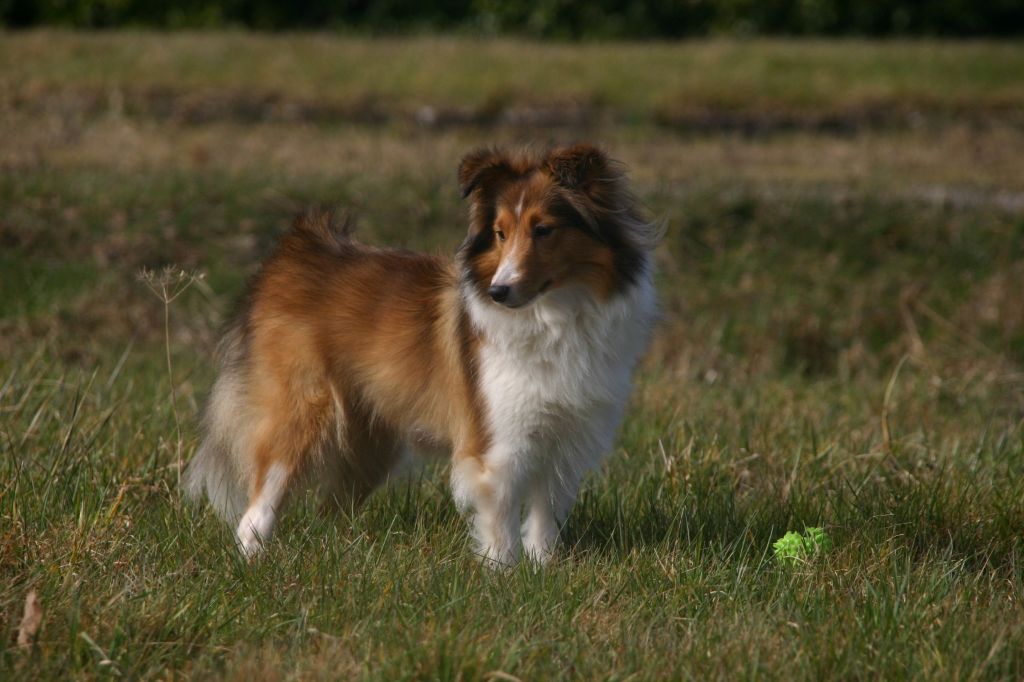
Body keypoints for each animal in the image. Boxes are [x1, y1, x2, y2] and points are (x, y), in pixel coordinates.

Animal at [185, 143, 659, 561]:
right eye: (501, 233)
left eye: (543, 230)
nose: (498, 292)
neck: (554, 314)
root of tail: (296, 250)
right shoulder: (498, 444)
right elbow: (501, 521)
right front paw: (505, 577)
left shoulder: (565, 441)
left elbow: (545, 518)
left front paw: (543, 571)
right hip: (300, 413)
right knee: (256, 510)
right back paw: (253, 561)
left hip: (368, 443)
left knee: (329, 508)